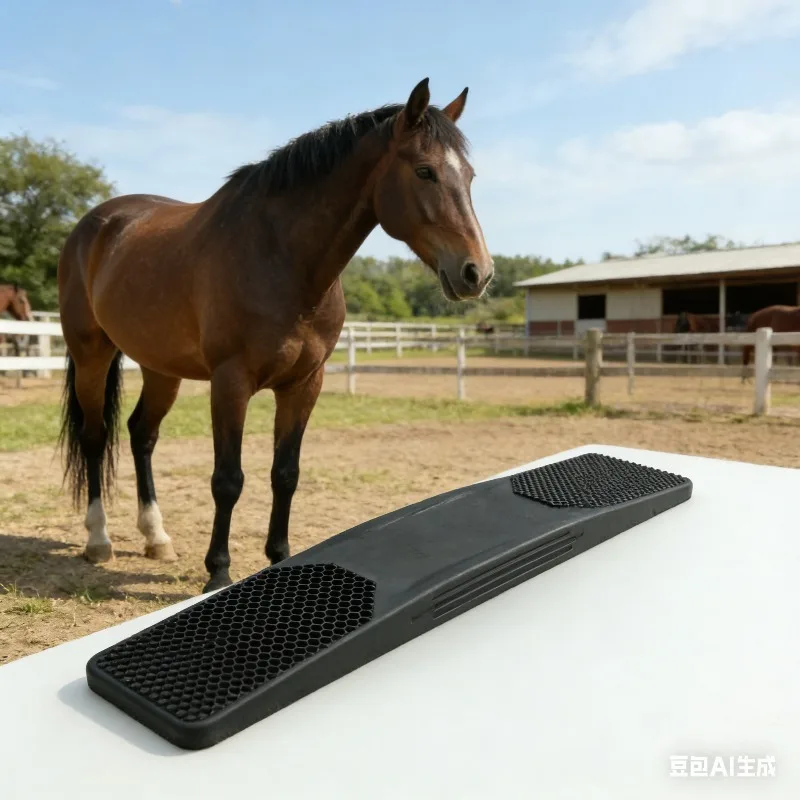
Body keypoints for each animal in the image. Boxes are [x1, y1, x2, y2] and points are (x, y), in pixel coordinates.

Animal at [57, 78, 494, 593]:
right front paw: (218, 573)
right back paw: (98, 539)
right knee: (95, 435)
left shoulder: (304, 384)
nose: (477, 273)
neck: (283, 258)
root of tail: (95, 224)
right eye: (425, 171)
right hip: (92, 354)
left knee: (142, 434)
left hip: (160, 367)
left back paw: (156, 536)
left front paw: (279, 558)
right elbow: (228, 479)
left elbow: (285, 473)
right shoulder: (231, 383)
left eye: (469, 176)